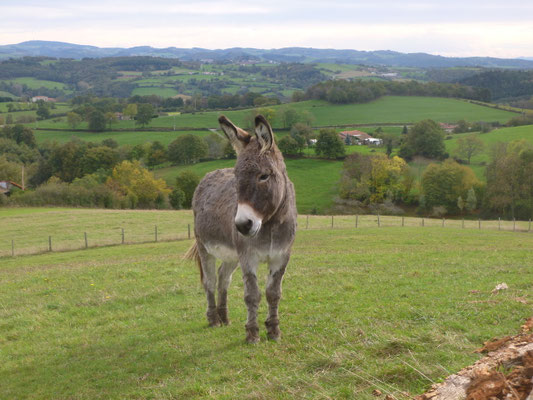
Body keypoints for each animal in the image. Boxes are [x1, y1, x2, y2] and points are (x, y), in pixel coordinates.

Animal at [185, 115, 297, 343]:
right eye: (236, 177)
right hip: (204, 247)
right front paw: (252, 334)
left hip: (231, 256)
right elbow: (252, 295)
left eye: (264, 176)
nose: (242, 225)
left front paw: (273, 330)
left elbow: (274, 293)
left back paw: (224, 317)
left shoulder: (281, 257)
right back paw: (213, 319)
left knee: (223, 278)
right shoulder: (248, 257)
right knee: (210, 281)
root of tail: (209, 174)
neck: (270, 225)